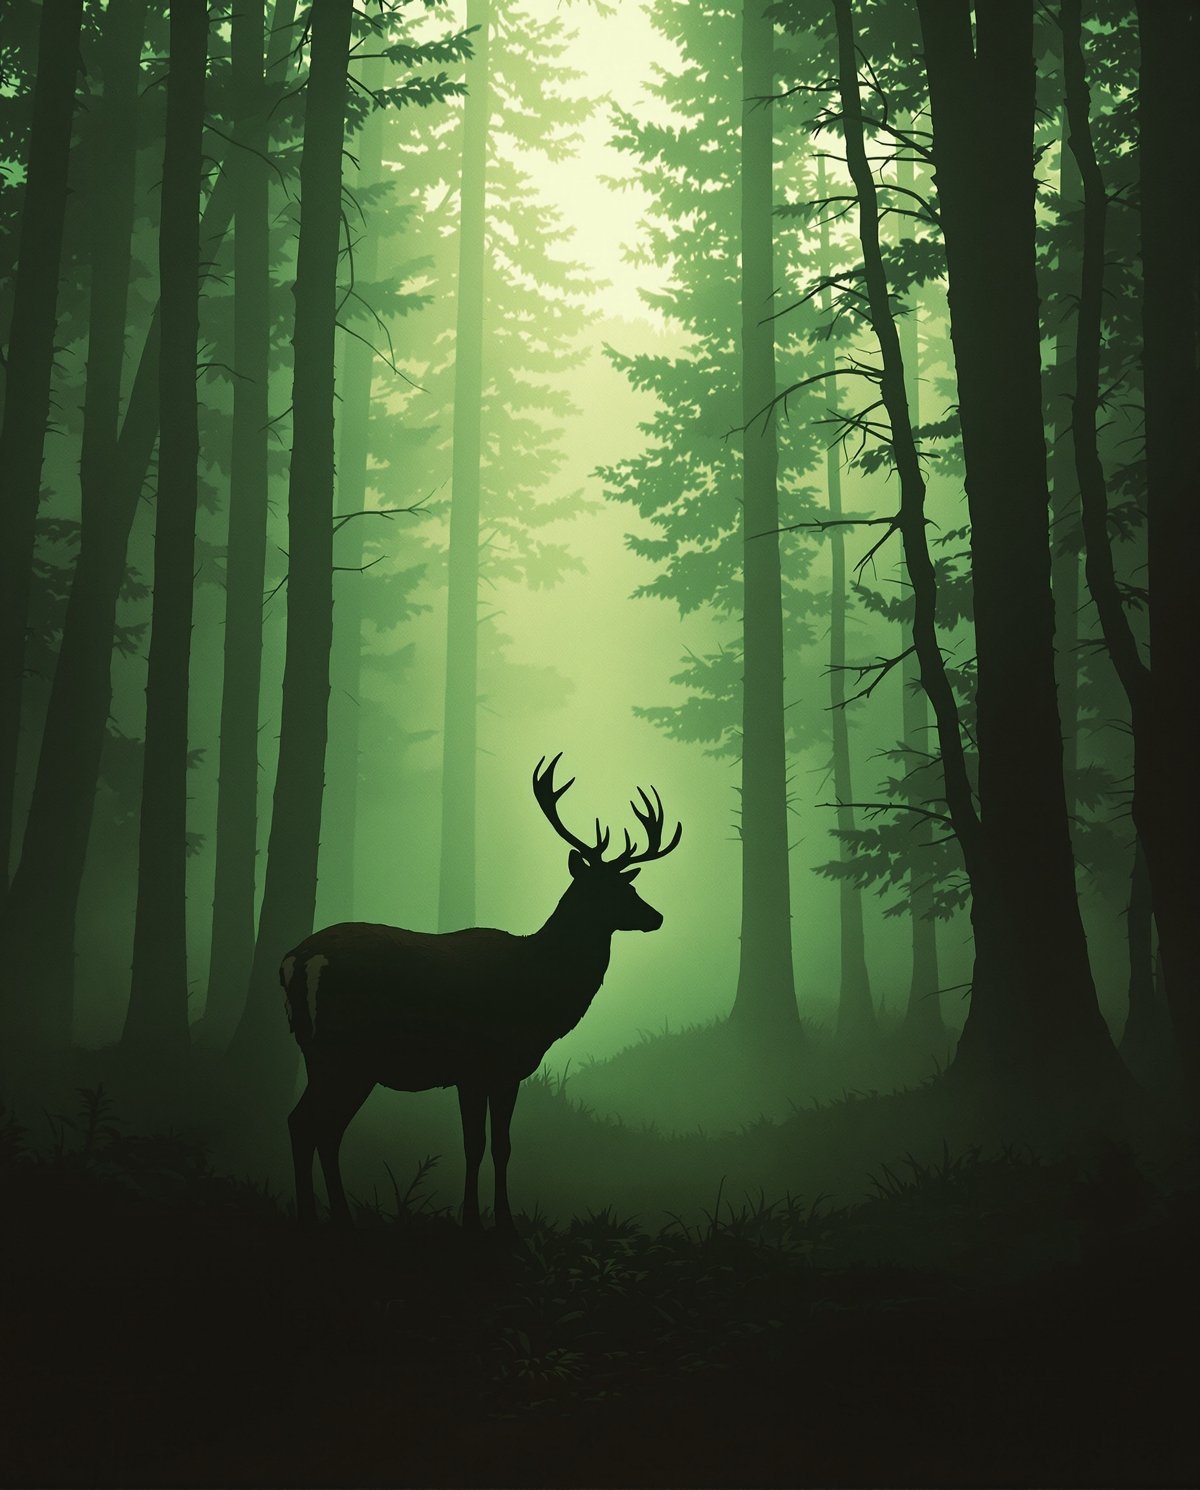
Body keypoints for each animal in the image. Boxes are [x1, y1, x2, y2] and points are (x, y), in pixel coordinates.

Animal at [281, 754, 682, 1231]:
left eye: (631, 884)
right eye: (607, 889)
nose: (657, 916)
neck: (539, 988)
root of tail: (297, 960)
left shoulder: (497, 1070)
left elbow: (499, 1146)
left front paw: (494, 1217)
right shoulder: (481, 1064)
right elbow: (480, 1145)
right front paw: (481, 1220)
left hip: (330, 1055)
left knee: (318, 1126)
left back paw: (334, 1217)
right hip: (343, 1051)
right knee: (310, 1123)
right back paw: (319, 1218)